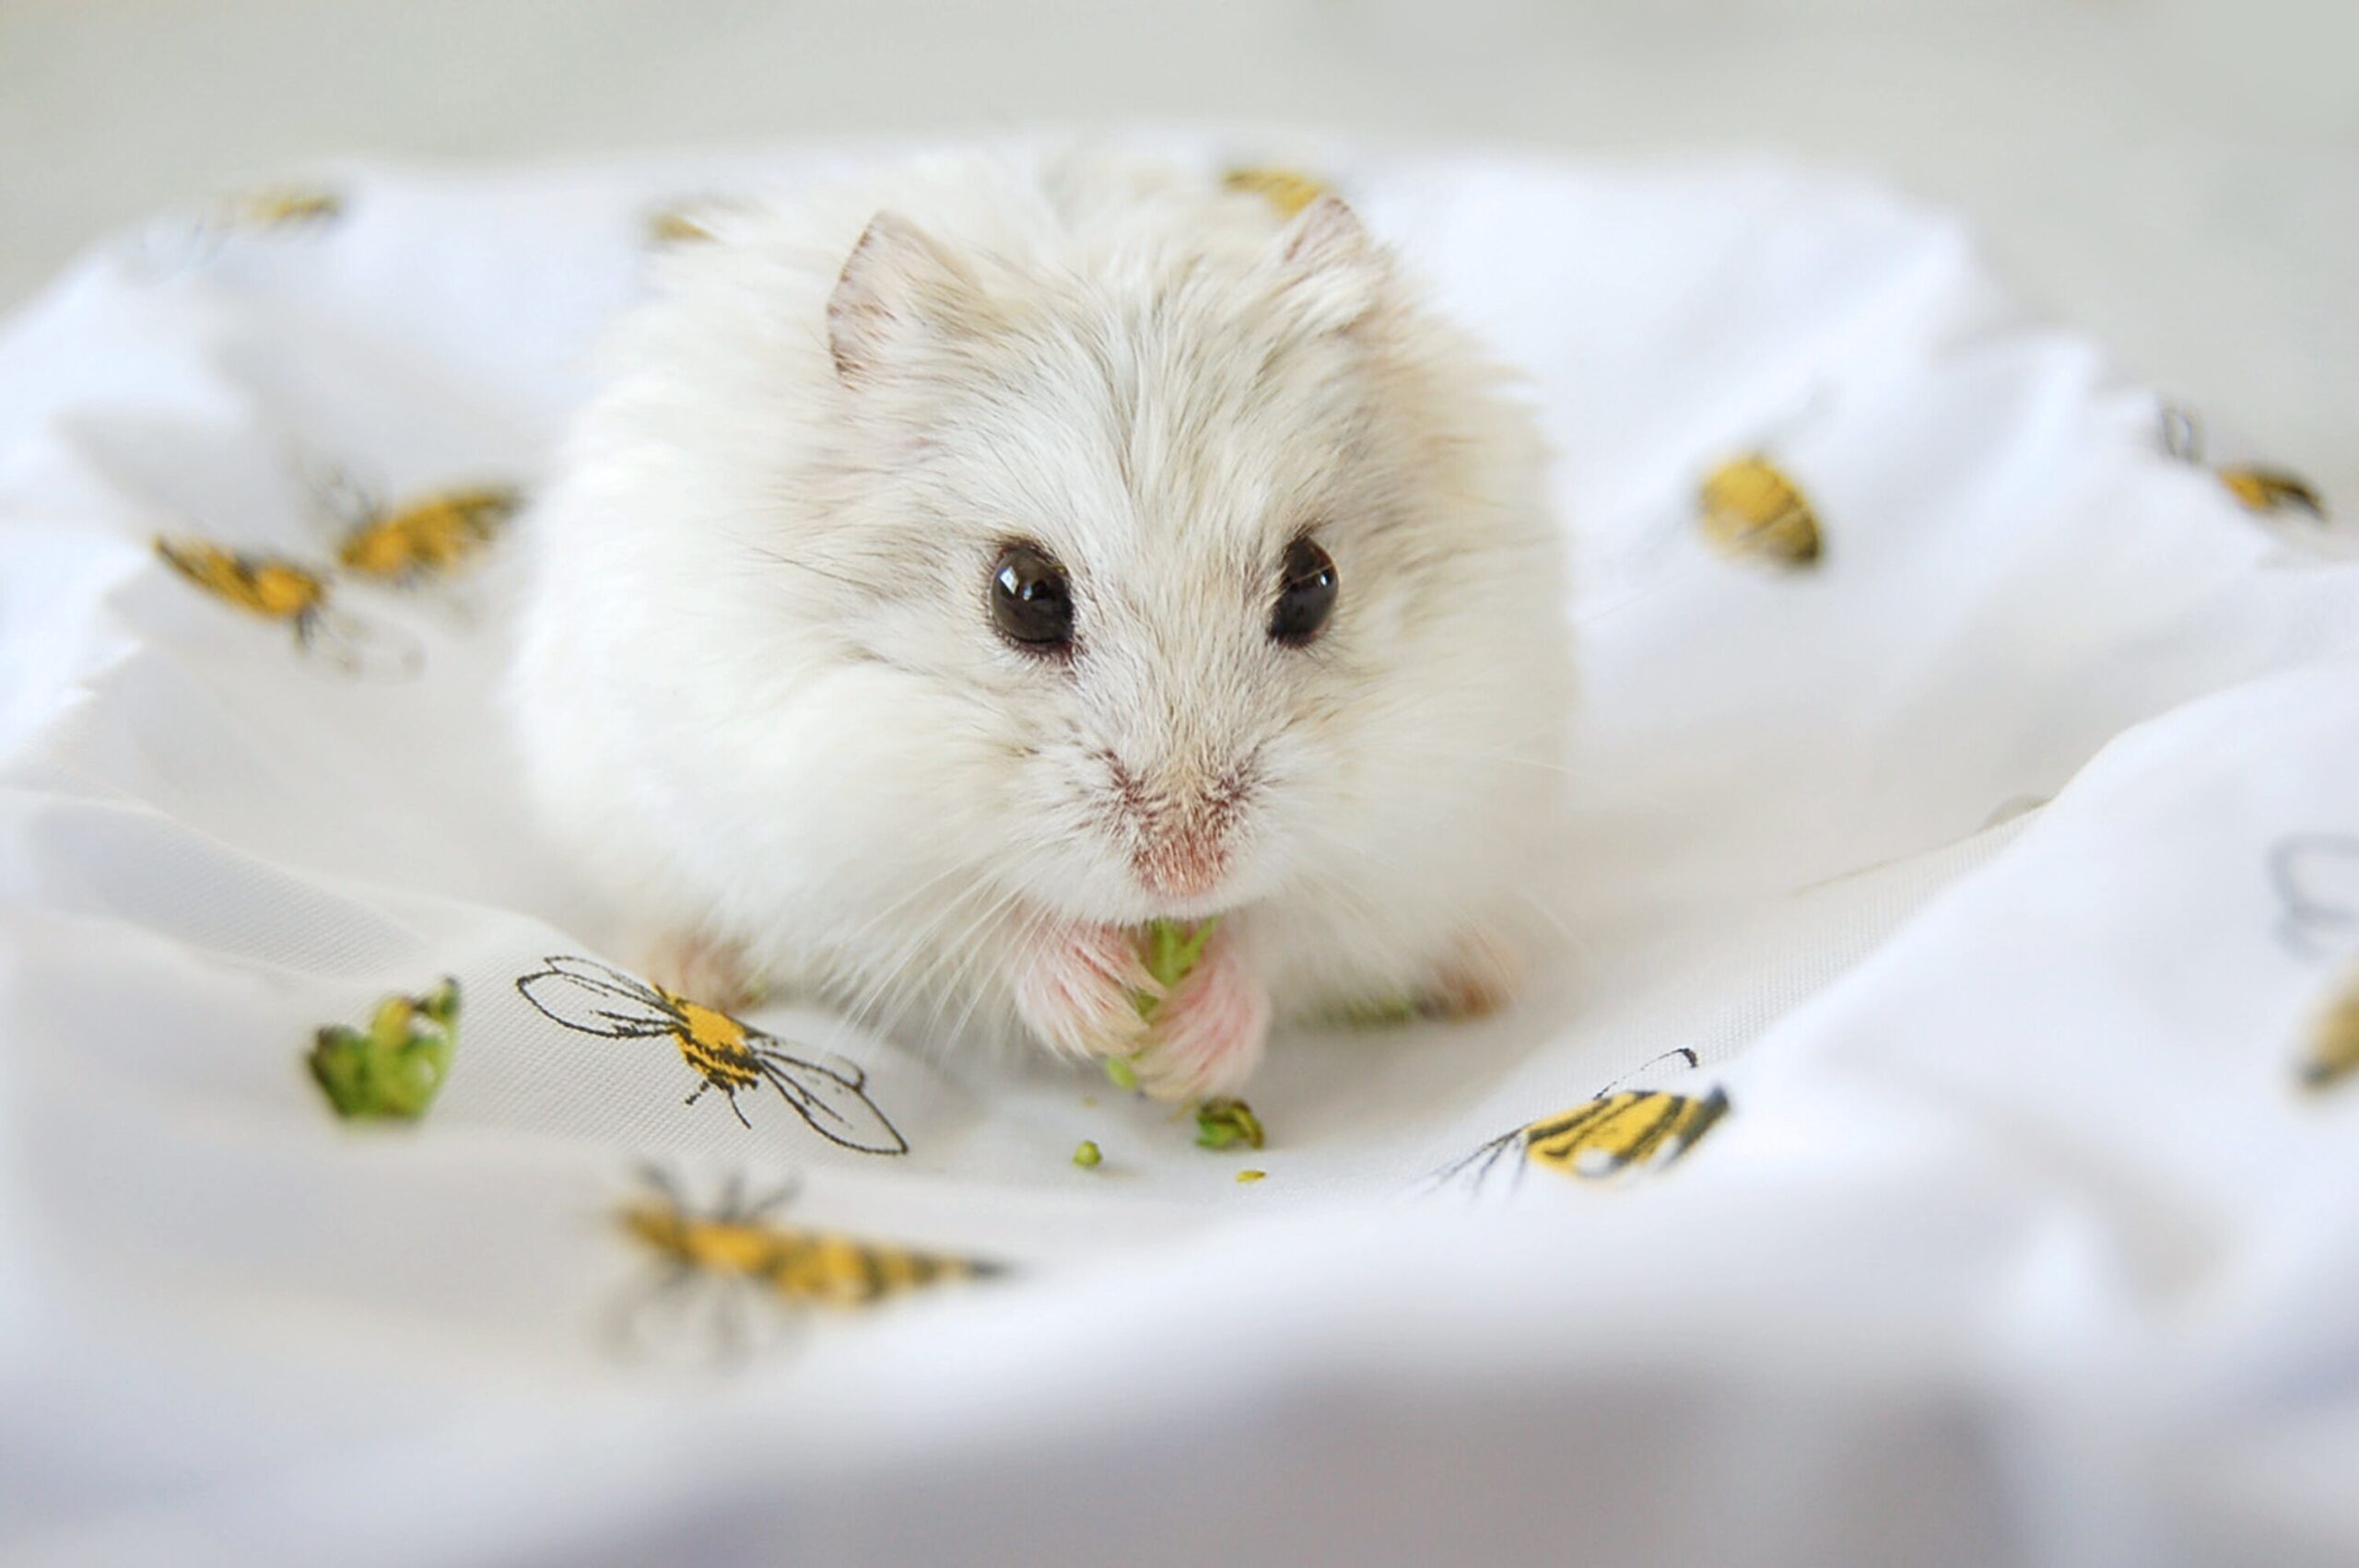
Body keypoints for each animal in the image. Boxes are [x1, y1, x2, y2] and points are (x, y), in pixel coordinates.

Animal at [508, 151, 1574, 1102]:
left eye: (1314, 586)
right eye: (1022, 594)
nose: (1188, 875)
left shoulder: (1418, 838)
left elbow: (1281, 936)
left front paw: (1188, 1051)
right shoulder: (830, 862)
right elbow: (987, 933)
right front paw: (1100, 1007)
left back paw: (1486, 975)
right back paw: (687, 968)